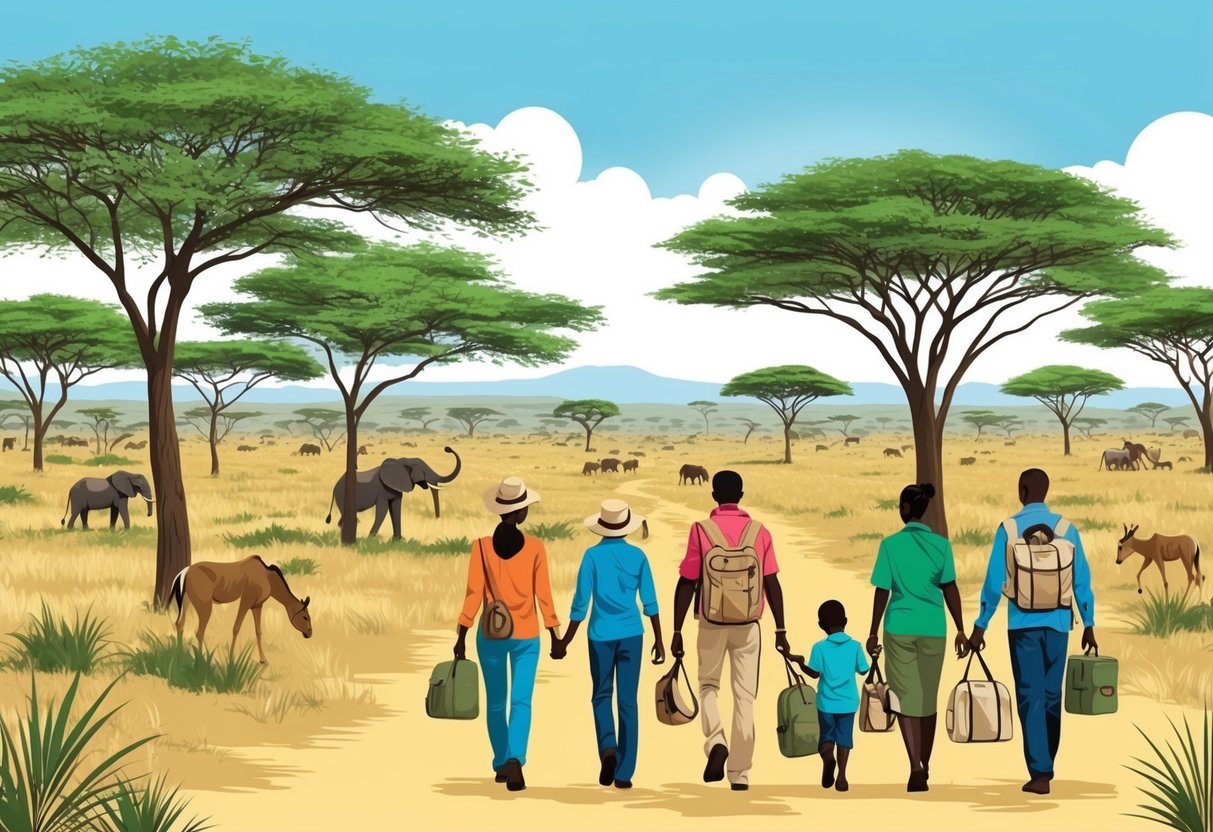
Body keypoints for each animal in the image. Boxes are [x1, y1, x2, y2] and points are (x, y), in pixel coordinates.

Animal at [172, 557, 312, 669]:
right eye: (305, 617)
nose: (309, 633)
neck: (267, 577)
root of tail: (185, 572)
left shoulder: (257, 606)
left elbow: (258, 631)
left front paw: (263, 660)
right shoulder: (246, 601)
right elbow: (236, 628)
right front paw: (231, 658)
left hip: (187, 602)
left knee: (180, 624)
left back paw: (179, 656)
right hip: (204, 607)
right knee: (199, 632)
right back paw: (200, 662)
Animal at [325, 448, 460, 540]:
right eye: (422, 471)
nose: (447, 449)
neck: (401, 461)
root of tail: (335, 486)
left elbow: (396, 508)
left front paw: (398, 540)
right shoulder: (382, 489)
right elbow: (383, 509)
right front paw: (371, 538)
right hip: (342, 494)